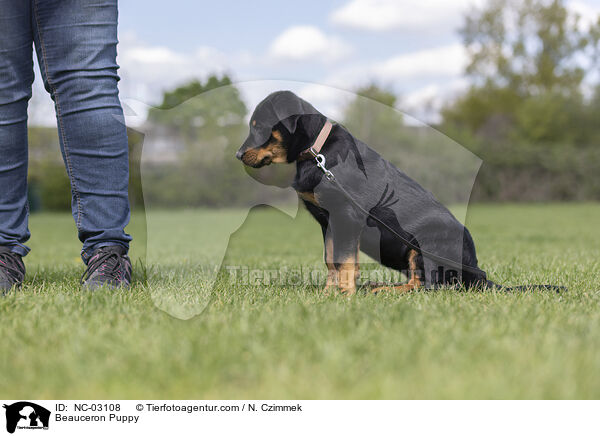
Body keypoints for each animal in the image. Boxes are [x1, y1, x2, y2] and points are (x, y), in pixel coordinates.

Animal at [237, 90, 556, 294]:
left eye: (259, 126)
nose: (238, 155)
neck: (316, 151)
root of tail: (477, 272)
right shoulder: (327, 221)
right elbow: (331, 259)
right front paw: (328, 293)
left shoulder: (346, 216)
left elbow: (346, 260)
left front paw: (343, 295)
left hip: (422, 245)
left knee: (430, 287)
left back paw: (383, 290)